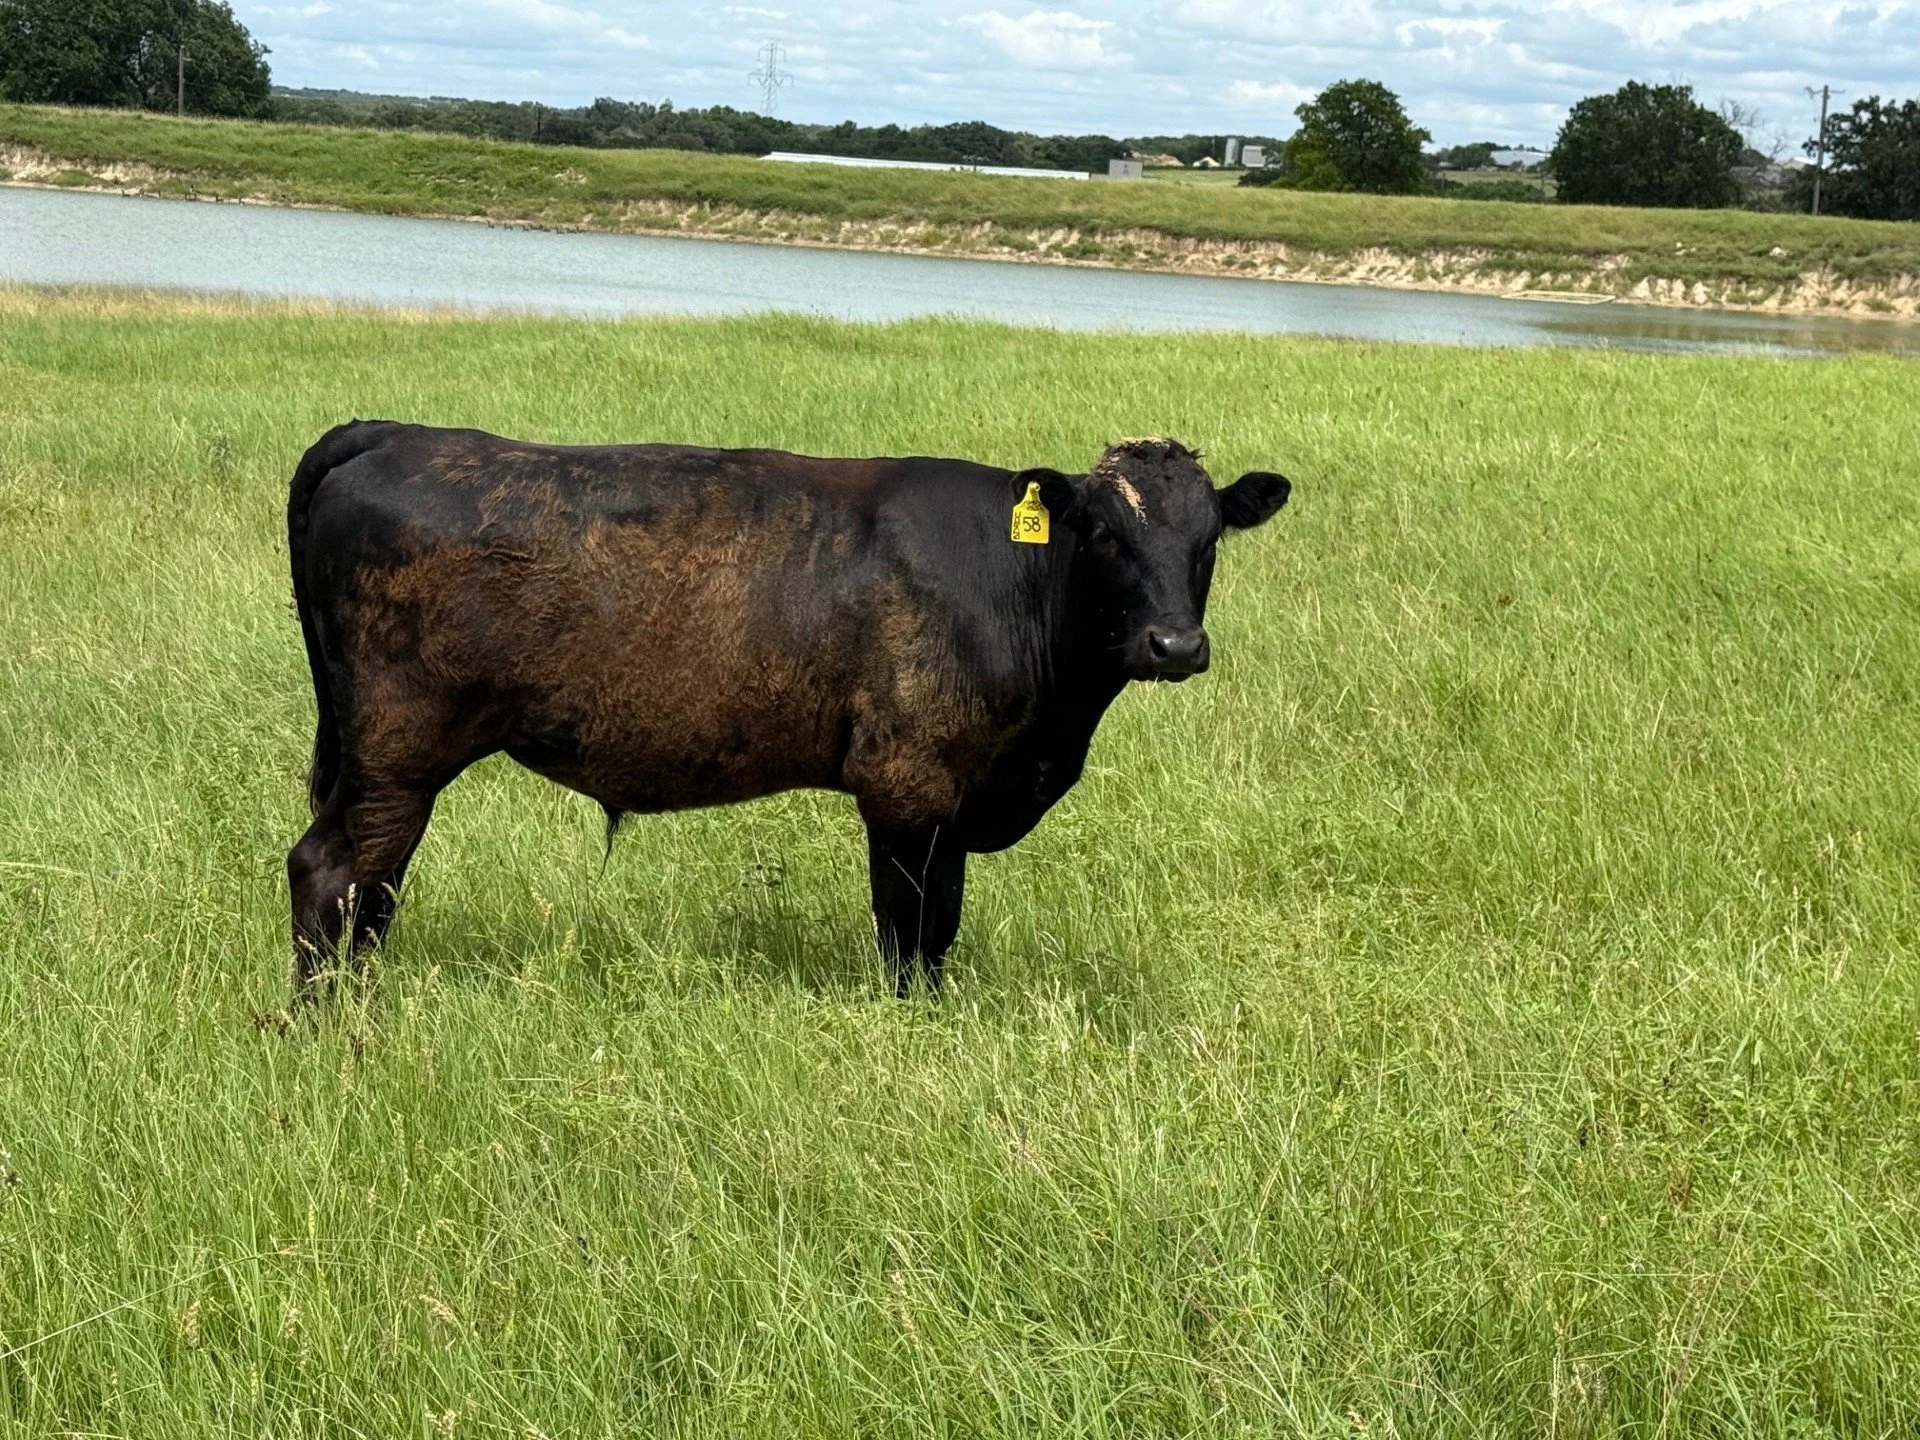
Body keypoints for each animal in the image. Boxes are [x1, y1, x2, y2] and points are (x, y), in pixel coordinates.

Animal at [286, 423, 1289, 997]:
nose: (1174, 645)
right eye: (1105, 536)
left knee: (372, 886)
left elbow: (939, 928)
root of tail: (391, 433)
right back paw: (328, 1012)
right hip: (397, 749)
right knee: (333, 872)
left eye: (1209, 540)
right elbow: (912, 930)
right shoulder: (907, 784)